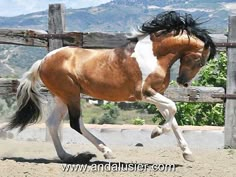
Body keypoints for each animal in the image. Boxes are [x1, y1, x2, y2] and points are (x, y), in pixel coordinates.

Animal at [5, 11, 216, 162]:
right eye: (200, 60)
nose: (183, 82)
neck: (153, 56)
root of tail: (43, 61)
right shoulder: (144, 93)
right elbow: (173, 108)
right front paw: (155, 133)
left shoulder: (157, 94)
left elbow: (172, 119)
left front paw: (187, 153)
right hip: (71, 94)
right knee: (75, 123)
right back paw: (106, 151)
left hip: (61, 97)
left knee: (52, 123)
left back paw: (67, 156)